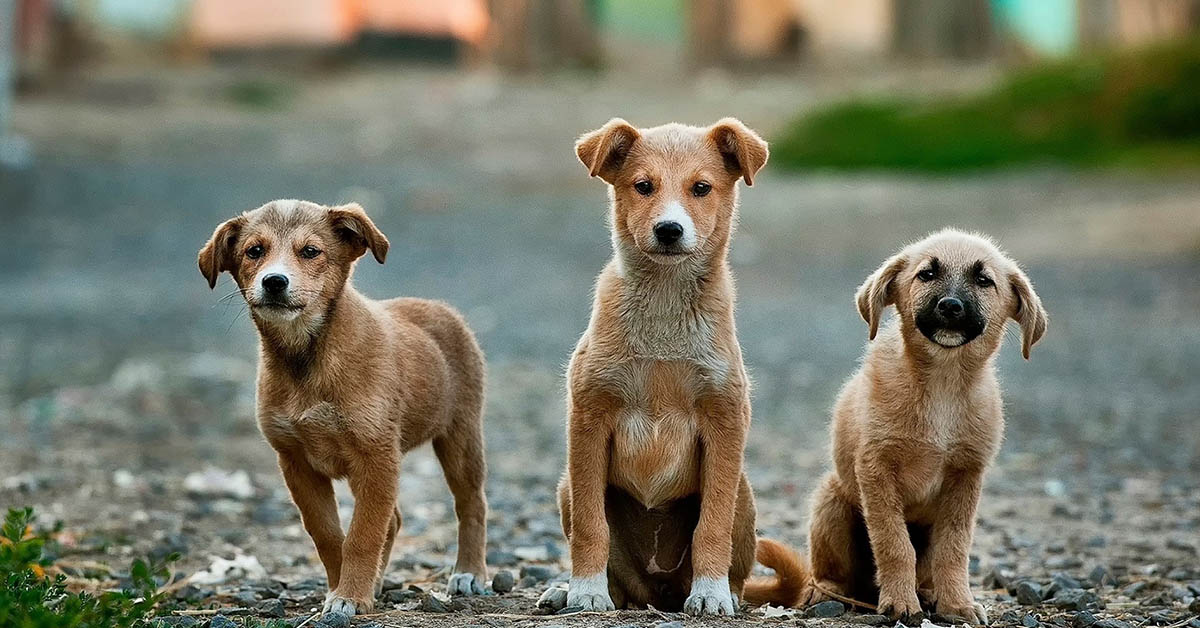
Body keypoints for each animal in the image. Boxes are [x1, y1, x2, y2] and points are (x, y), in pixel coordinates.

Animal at [196, 202, 487, 619]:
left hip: (460, 436)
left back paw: (468, 573)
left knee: (471, 504)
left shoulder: (376, 455)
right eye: (254, 251)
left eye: (310, 252)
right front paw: (342, 590)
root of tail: (439, 307)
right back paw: (378, 582)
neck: (306, 358)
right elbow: (329, 535)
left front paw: (350, 595)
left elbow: (363, 534)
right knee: (394, 520)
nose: (274, 282)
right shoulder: (296, 461)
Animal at [537, 119, 763, 619]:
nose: (669, 230)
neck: (663, 303)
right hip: (566, 487)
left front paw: (711, 593)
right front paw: (585, 591)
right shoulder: (589, 417)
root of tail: (658, 592)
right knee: (617, 575)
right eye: (643, 186)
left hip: (743, 492)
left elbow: (711, 524)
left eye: (701, 188)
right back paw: (568, 590)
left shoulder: (725, 419)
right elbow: (591, 526)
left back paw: (723, 592)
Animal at [744, 229, 1046, 624]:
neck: (942, 384)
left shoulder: (966, 476)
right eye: (926, 274)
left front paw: (957, 603)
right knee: (829, 572)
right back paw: (826, 592)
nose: (951, 306)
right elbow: (894, 544)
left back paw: (929, 593)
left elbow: (954, 548)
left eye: (984, 280)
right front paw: (901, 602)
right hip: (831, 501)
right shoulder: (876, 469)